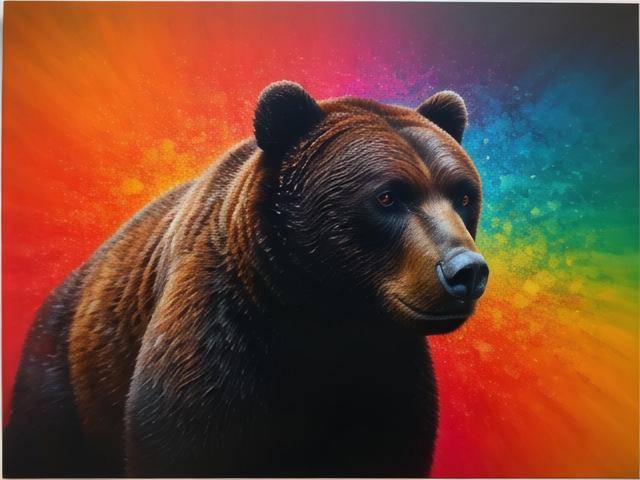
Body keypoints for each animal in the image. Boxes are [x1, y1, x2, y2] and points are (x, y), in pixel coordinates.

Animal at [3, 81, 489, 478]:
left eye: (464, 195)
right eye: (387, 196)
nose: (466, 271)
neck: (323, 316)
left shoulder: (385, 370)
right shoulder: (219, 333)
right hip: (64, 375)